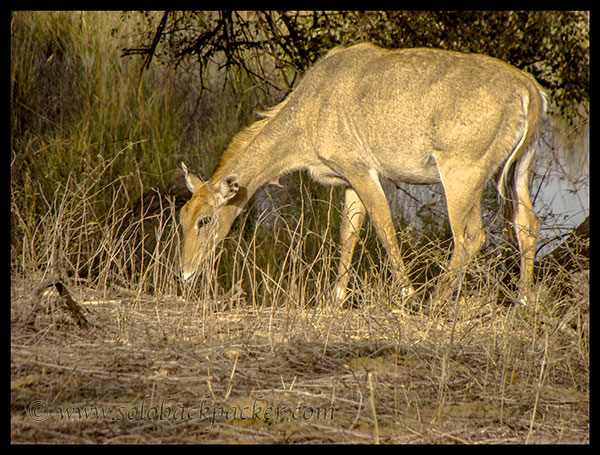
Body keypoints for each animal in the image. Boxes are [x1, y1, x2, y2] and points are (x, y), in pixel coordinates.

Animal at [177, 43, 544, 306]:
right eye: (182, 216)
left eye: (205, 220)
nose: (184, 272)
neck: (308, 114)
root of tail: (530, 91)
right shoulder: (348, 179)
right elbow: (349, 231)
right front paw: (335, 298)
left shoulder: (360, 167)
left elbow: (383, 227)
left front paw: (406, 295)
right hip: (519, 166)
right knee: (526, 223)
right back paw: (524, 301)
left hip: (462, 170)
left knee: (471, 234)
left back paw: (435, 302)